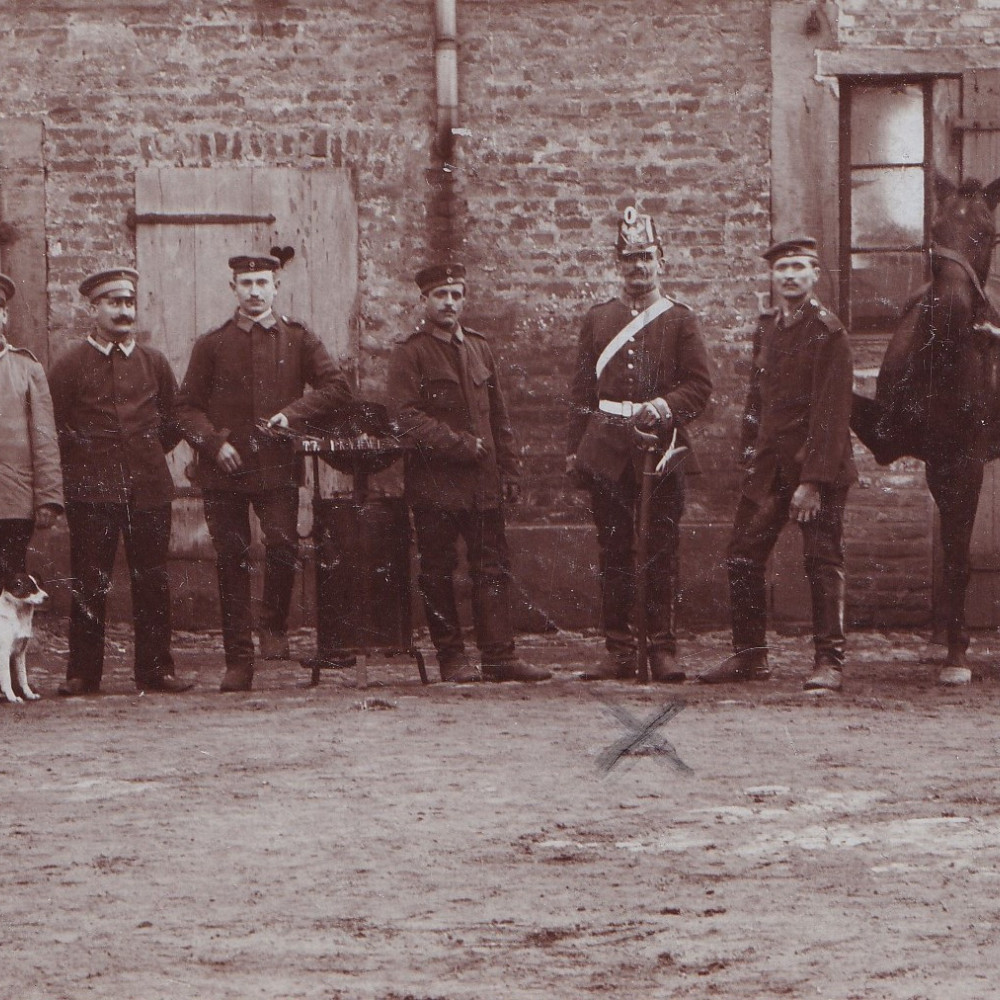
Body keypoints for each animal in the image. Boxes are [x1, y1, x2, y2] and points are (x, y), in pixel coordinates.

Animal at [0, 572, 48, 704]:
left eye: (39, 584)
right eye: (30, 587)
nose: (46, 597)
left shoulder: (20, 652)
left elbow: (22, 677)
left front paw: (29, 694)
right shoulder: (4, 653)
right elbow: (7, 677)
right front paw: (12, 696)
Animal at [848, 174, 1000, 688]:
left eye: (986, 233)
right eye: (934, 230)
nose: (952, 308)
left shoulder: (968, 464)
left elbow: (958, 559)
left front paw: (957, 654)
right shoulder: (929, 458)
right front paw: (952, 647)